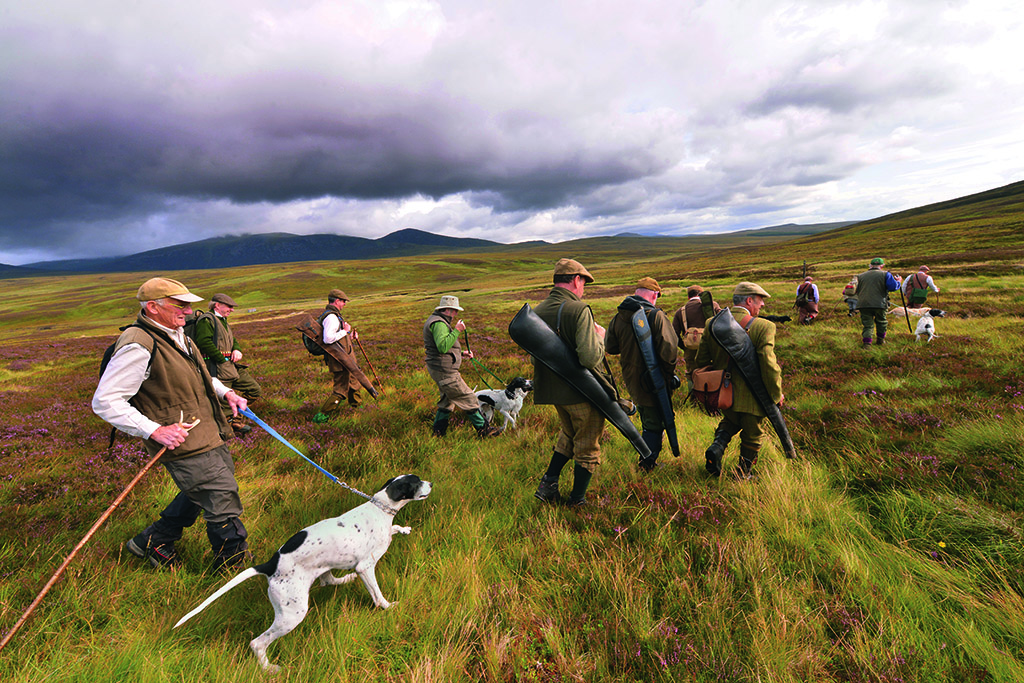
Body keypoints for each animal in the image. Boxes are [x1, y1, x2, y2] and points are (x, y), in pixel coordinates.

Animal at [174, 475, 430, 671]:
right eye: (416, 482)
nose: (431, 483)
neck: (380, 508)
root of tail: (271, 565)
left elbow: (395, 529)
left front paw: (404, 529)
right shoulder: (365, 567)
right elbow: (377, 595)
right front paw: (388, 607)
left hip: (319, 571)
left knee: (328, 581)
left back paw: (346, 578)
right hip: (292, 614)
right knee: (257, 643)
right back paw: (268, 669)